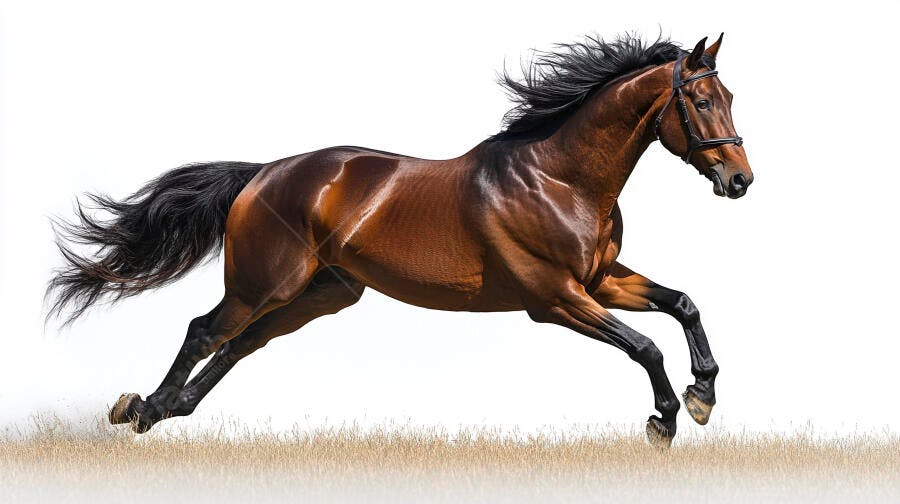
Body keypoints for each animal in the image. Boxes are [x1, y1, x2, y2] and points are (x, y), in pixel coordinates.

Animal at [48, 33, 752, 447]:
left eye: (730, 95)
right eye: (701, 101)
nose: (740, 180)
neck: (559, 179)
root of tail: (264, 173)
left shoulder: (599, 281)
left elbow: (683, 304)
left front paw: (703, 394)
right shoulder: (554, 298)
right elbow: (645, 347)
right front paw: (668, 417)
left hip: (323, 294)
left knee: (241, 344)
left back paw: (170, 409)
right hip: (265, 283)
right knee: (206, 331)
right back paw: (142, 409)